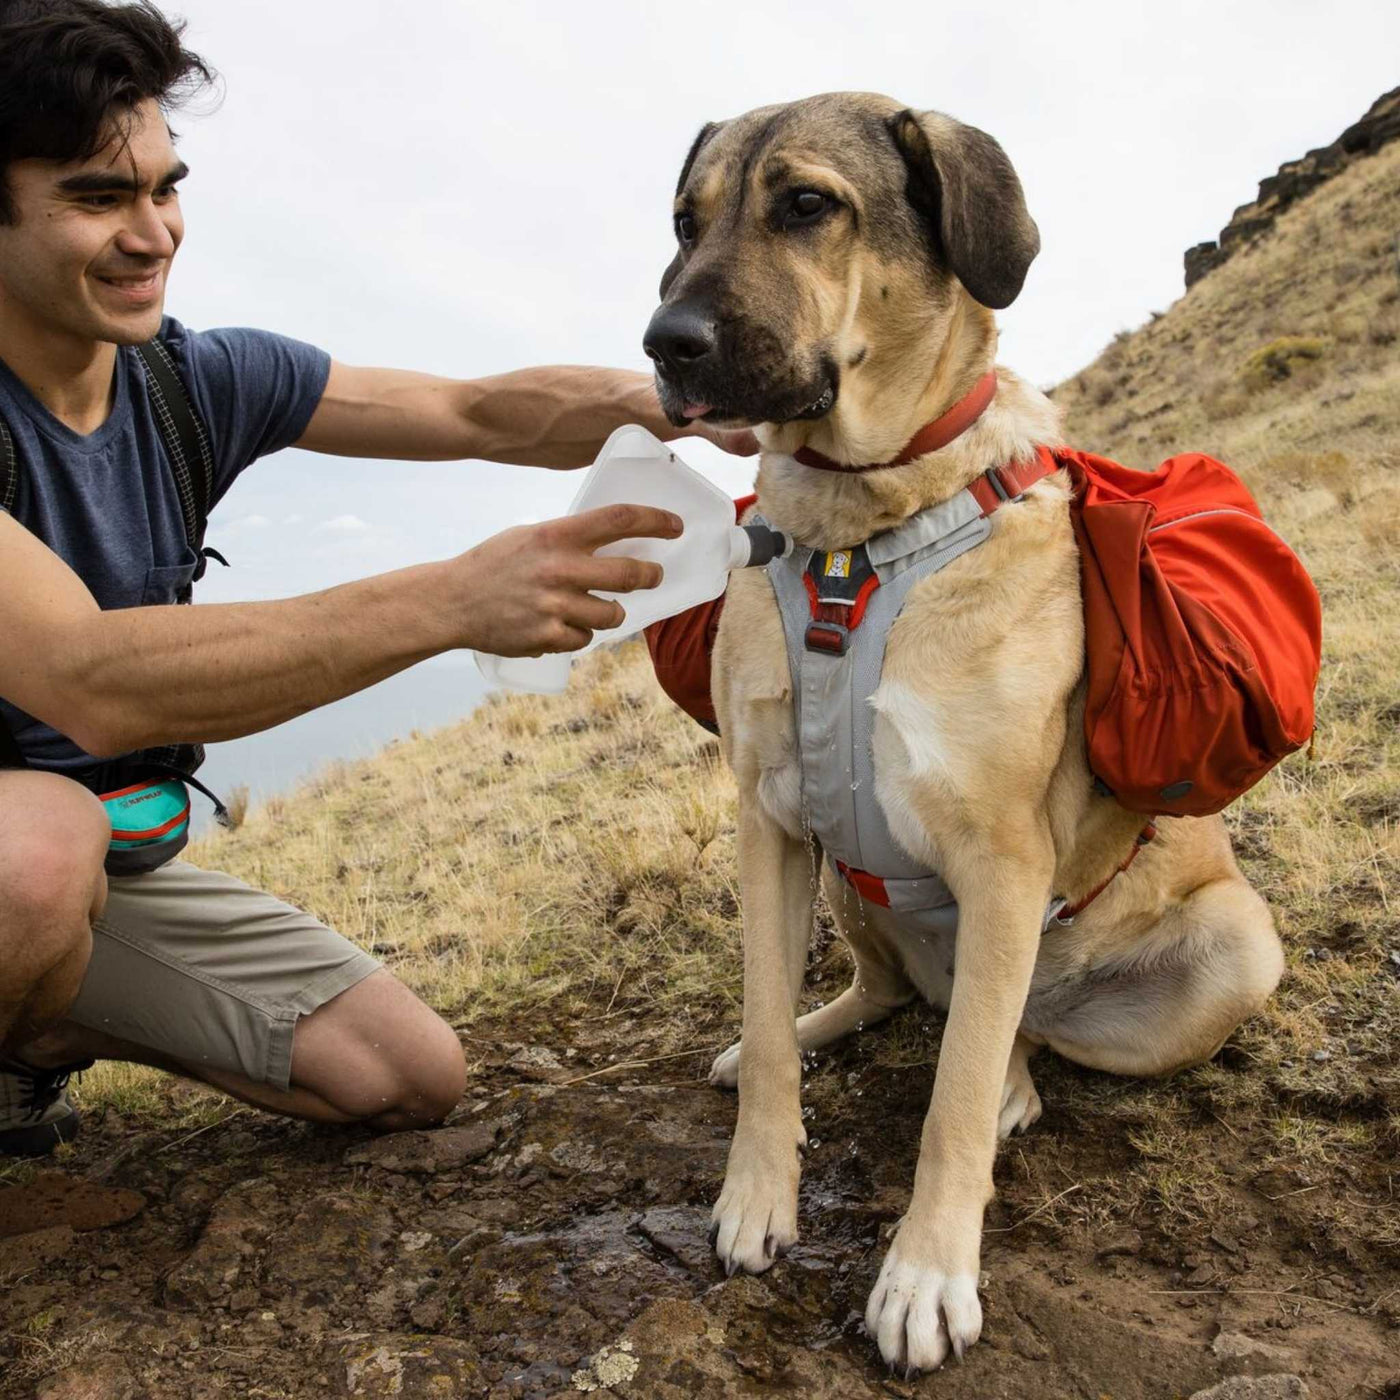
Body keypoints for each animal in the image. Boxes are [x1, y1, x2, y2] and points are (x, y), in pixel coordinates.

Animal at [641, 95, 1282, 1377]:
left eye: (806, 204)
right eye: (685, 219)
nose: (662, 343)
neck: (856, 521)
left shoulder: (1000, 856)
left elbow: (947, 1106)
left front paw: (924, 1274)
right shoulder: (767, 819)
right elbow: (766, 1031)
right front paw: (755, 1188)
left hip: (1231, 950)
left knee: (1003, 1033)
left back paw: (1012, 1088)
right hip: (848, 889)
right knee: (884, 996)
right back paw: (819, 1023)